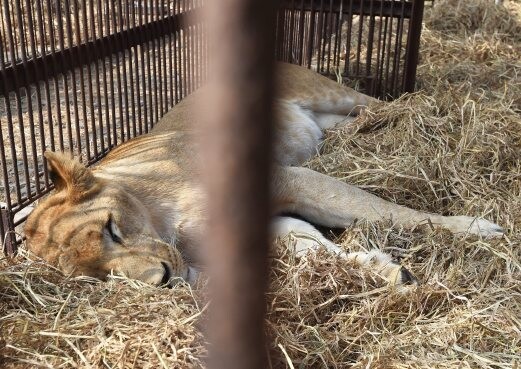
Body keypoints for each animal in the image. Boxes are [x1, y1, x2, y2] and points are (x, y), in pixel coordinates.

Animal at [24, 62, 504, 284]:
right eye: (95, 276)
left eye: (111, 228)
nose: (162, 281)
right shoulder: (268, 220)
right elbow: (313, 247)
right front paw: (384, 271)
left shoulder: (286, 178)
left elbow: (381, 209)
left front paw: (476, 228)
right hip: (328, 123)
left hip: (333, 93)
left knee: (382, 103)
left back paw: (430, 109)